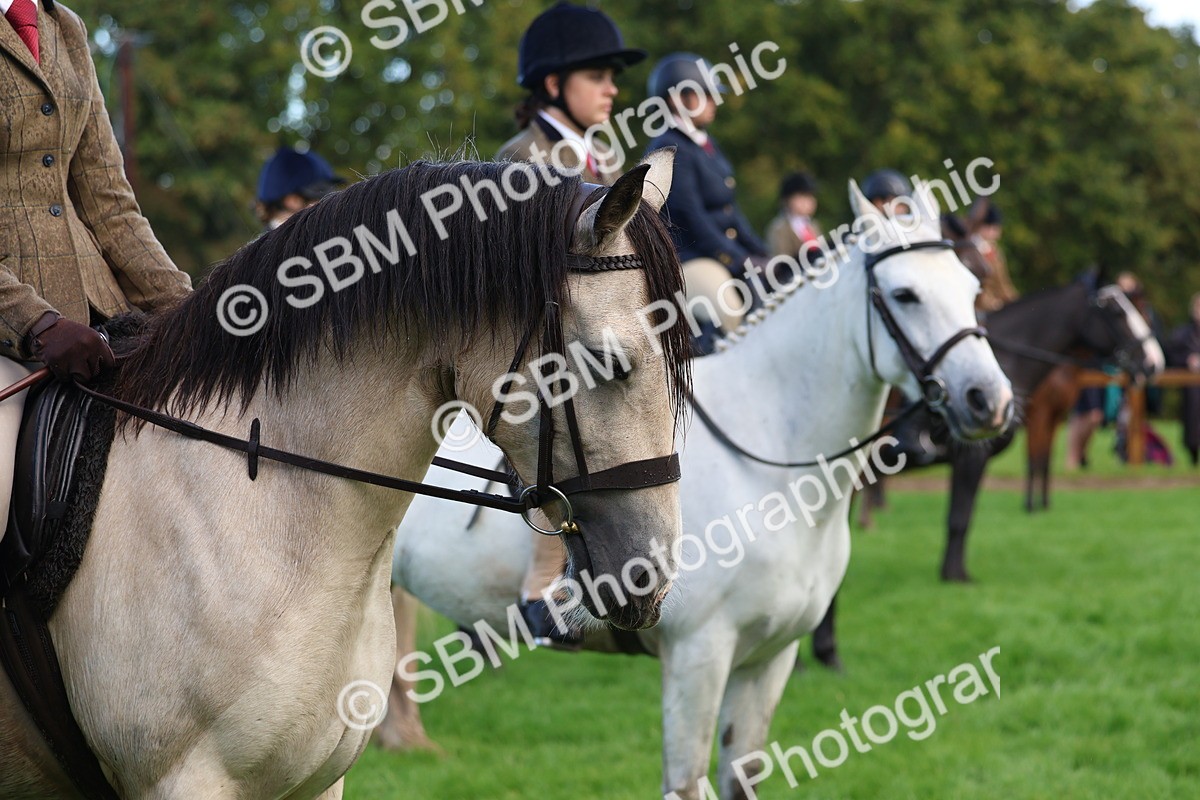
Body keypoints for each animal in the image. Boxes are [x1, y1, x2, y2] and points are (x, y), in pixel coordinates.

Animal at [382, 179, 1014, 798]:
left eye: (970, 286)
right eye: (905, 295)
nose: (989, 401)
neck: (770, 465)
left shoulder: (769, 660)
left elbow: (743, 776)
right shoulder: (698, 657)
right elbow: (687, 783)